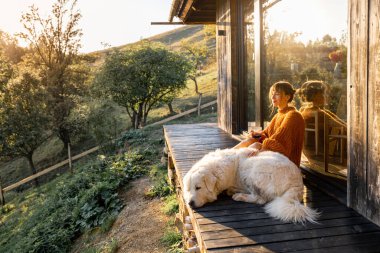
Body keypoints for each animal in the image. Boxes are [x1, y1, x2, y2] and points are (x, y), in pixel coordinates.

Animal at [183, 148, 320, 223]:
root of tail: (297, 182)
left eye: (198, 188)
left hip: (253, 169)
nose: (190, 203)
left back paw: (239, 196)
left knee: (260, 199)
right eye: (188, 189)